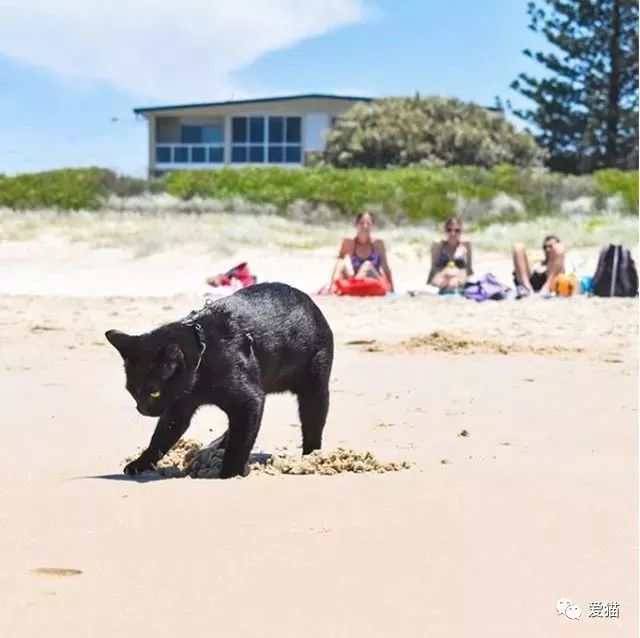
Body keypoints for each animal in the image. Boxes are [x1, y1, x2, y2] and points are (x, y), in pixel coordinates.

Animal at [105, 284, 336, 480]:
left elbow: (239, 442)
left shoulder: (248, 401)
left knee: (312, 423)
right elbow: (161, 437)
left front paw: (228, 473)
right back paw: (217, 446)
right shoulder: (179, 406)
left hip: (314, 389)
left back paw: (311, 459)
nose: (142, 409)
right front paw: (140, 463)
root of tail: (310, 302)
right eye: (132, 391)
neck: (204, 352)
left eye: (154, 392)